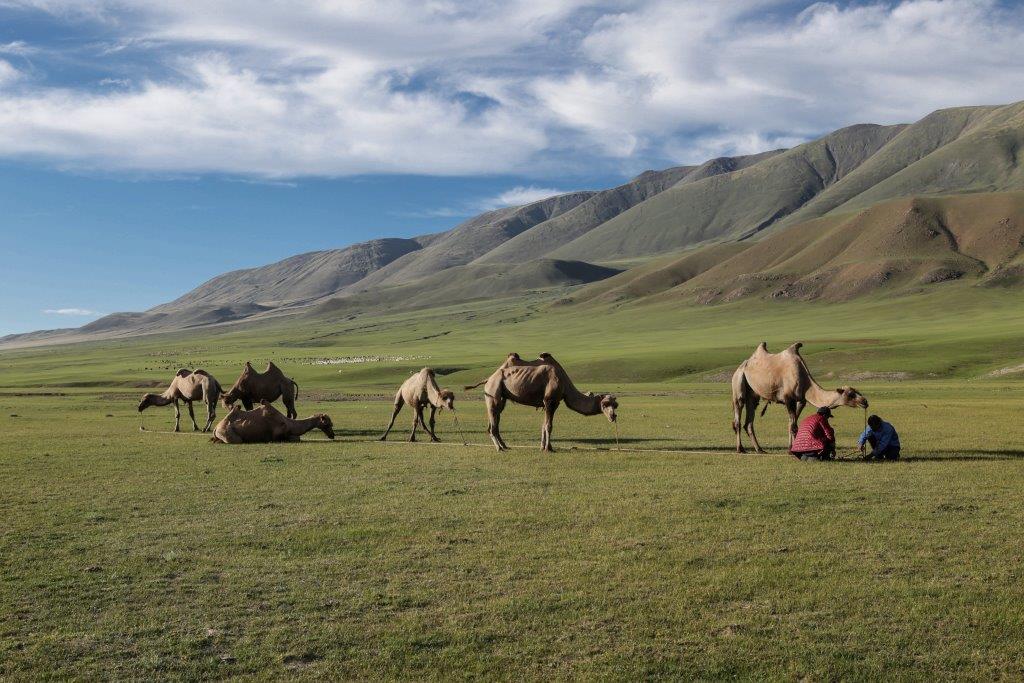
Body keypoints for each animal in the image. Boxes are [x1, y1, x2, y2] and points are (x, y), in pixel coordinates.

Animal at [468, 352, 614, 454]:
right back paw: (499, 448)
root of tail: (488, 379)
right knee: (493, 424)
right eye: (605, 404)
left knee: (495, 420)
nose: (613, 416)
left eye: (615, 405)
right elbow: (549, 425)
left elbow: (544, 425)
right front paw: (548, 449)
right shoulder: (550, 401)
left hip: (500, 398)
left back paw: (504, 445)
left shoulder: (552, 403)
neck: (564, 383)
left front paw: (544, 446)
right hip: (493, 393)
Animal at [733, 342, 868, 454]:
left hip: (753, 396)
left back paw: (759, 449)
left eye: (857, 391)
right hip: (738, 381)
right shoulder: (788, 399)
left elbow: (792, 424)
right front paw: (794, 450)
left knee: (749, 422)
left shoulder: (801, 401)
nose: (865, 401)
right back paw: (741, 449)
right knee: (738, 416)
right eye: (851, 394)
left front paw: (790, 448)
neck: (805, 382)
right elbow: (793, 426)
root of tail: (742, 366)